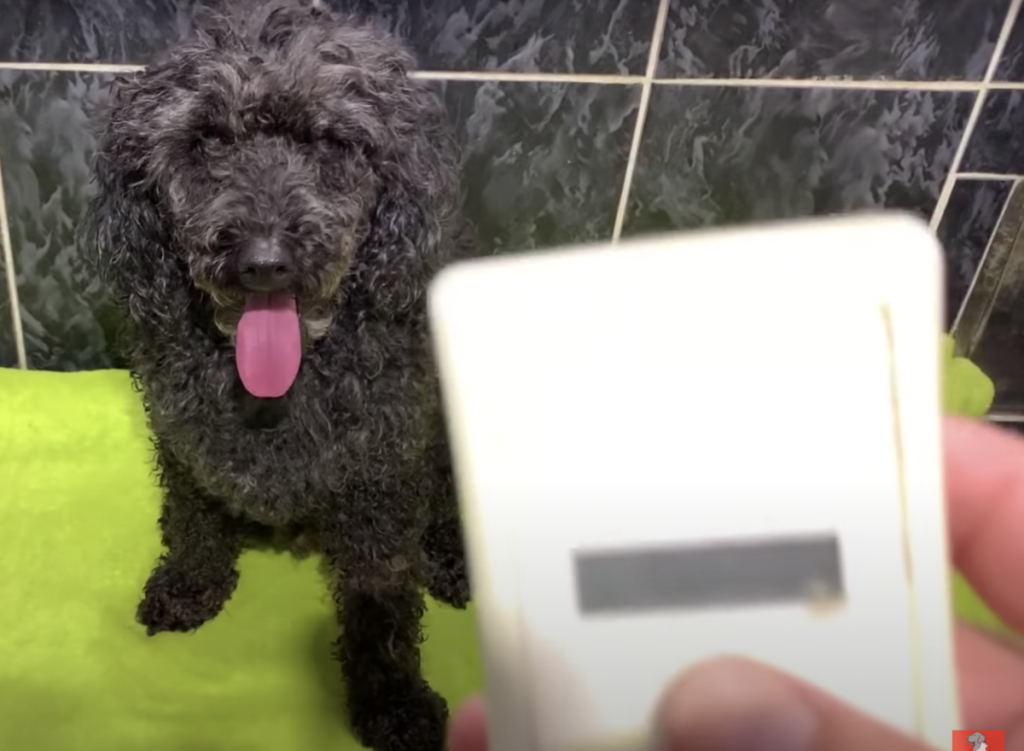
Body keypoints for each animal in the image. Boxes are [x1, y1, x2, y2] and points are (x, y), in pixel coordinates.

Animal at [83, 2, 471, 749]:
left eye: (329, 140)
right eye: (207, 139)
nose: (265, 261)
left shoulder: (381, 480)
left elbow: (382, 599)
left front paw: (393, 698)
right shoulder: (186, 448)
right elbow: (194, 523)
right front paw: (190, 584)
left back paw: (453, 556)